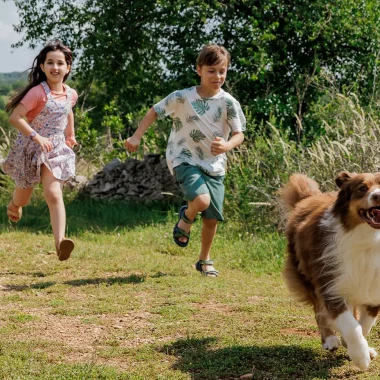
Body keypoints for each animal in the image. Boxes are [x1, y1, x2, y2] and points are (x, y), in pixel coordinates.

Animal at [280, 173, 380, 372]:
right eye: (362, 188)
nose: (377, 196)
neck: (370, 240)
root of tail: (308, 198)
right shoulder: (330, 284)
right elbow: (351, 325)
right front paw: (361, 357)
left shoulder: (373, 289)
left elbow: (364, 324)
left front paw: (358, 348)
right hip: (307, 272)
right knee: (319, 310)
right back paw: (330, 339)